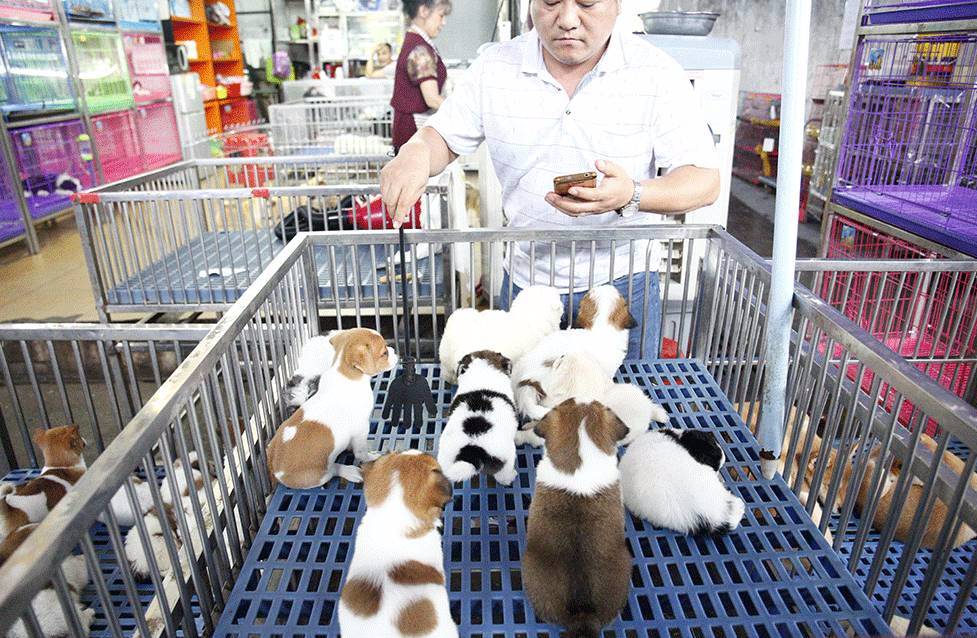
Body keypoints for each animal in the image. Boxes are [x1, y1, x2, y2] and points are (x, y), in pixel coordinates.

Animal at [264, 330, 394, 490]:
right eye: (384, 353)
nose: (394, 351)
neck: (345, 374)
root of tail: (272, 464)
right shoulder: (361, 429)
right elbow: (361, 452)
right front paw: (371, 456)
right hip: (318, 474)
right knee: (333, 470)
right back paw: (349, 471)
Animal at [438, 350, 524, 484]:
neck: (482, 374)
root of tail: (473, 449)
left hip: (445, 459)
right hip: (507, 457)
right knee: (503, 476)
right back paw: (511, 477)